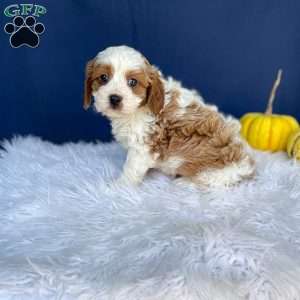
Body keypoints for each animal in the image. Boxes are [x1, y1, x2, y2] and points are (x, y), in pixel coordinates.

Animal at [84, 46, 255, 188]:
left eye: (132, 82)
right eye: (103, 78)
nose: (114, 98)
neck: (135, 111)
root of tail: (247, 166)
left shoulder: (143, 146)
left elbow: (131, 168)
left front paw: (119, 186)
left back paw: (184, 181)